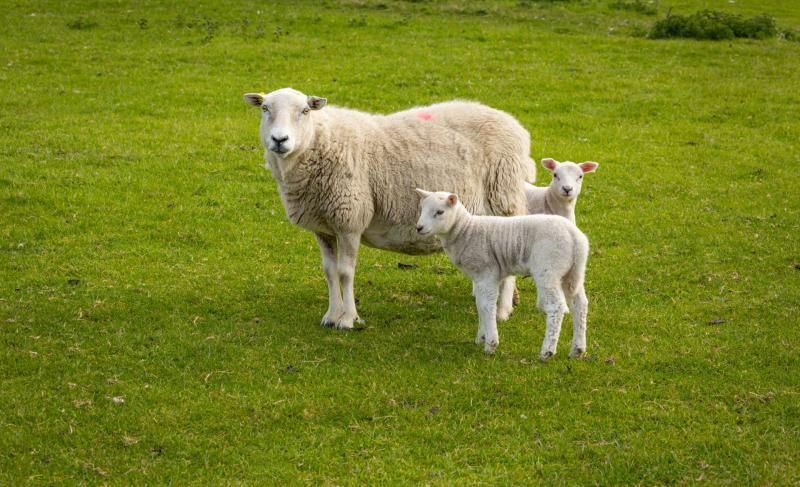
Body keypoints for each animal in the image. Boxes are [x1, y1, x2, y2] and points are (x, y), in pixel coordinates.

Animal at [243, 87, 534, 330]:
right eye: (265, 109)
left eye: (304, 111)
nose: (279, 139)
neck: (319, 141)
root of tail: (516, 126)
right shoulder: (323, 227)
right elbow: (329, 272)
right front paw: (331, 315)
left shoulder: (350, 219)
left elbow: (345, 272)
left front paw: (348, 319)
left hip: (505, 199)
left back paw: (503, 310)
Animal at [415, 189, 589, 360]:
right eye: (422, 209)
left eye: (440, 212)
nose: (419, 228)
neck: (465, 231)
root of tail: (575, 238)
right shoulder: (478, 277)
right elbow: (480, 305)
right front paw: (481, 337)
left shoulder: (487, 273)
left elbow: (487, 306)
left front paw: (491, 344)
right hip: (571, 272)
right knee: (579, 304)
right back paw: (578, 349)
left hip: (549, 268)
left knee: (556, 307)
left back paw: (547, 351)